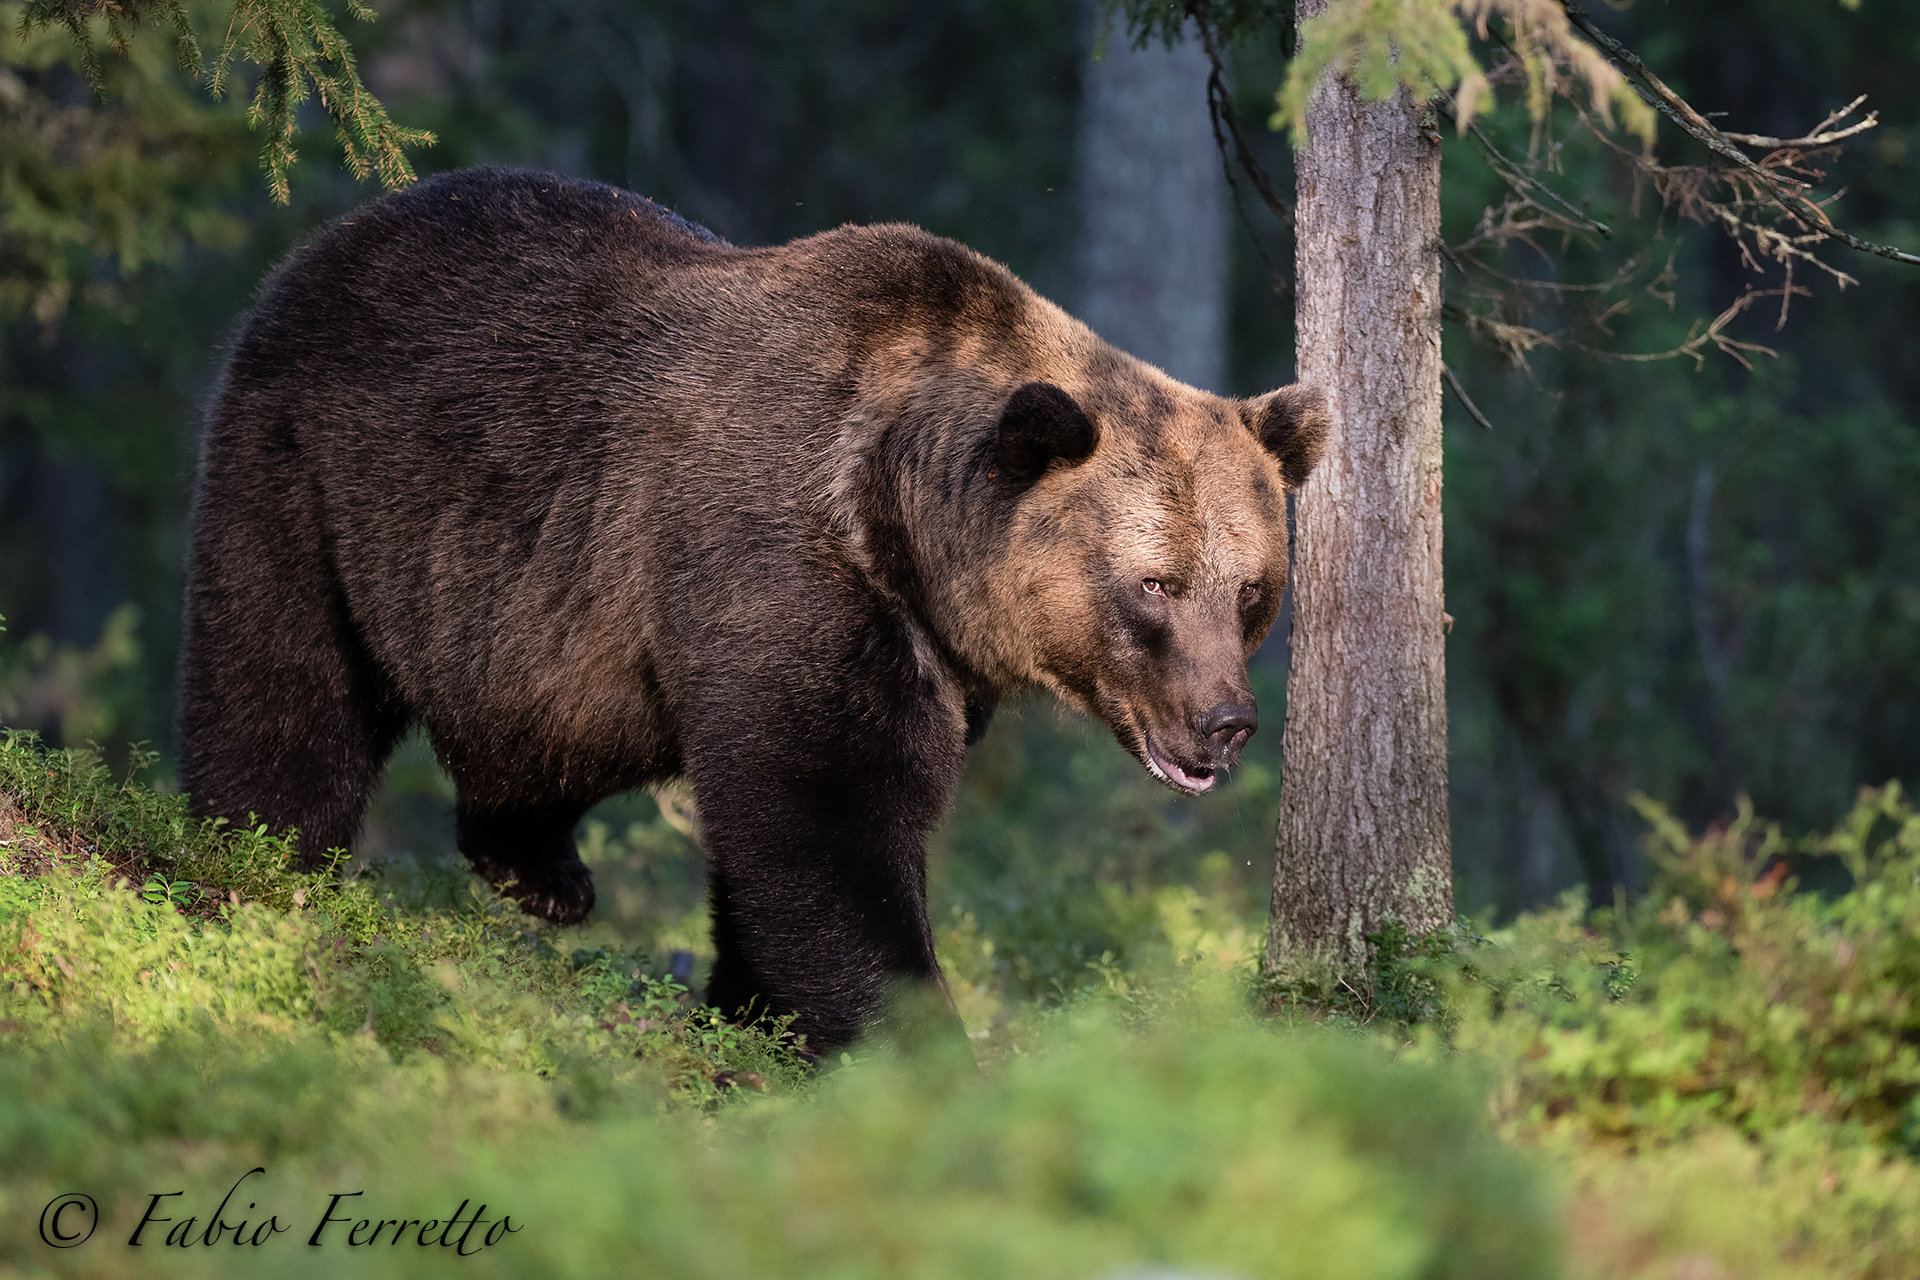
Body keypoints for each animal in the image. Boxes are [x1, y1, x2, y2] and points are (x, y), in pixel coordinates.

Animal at [178, 167, 1328, 1053]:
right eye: (1156, 583)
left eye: (1250, 588)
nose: (1226, 720)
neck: (902, 519)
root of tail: (332, 236)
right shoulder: (786, 559)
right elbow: (824, 823)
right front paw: (904, 1038)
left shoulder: (923, 650)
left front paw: (747, 1008)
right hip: (311, 476)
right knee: (281, 691)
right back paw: (254, 863)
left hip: (541, 616)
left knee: (542, 731)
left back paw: (541, 869)